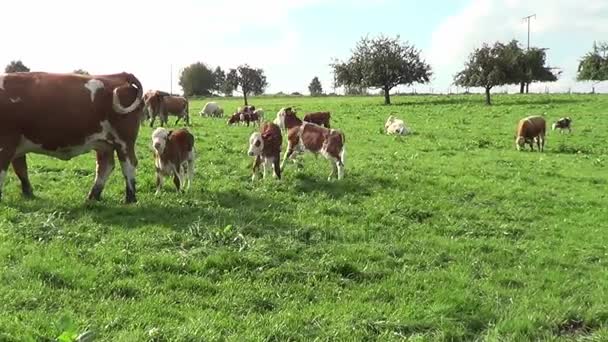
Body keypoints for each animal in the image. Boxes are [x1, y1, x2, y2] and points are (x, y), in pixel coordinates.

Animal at [0, 71, 144, 202]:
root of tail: (120, 75)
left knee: (128, 164)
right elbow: (21, 170)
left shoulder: (6, 144)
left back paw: (130, 198)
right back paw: (93, 196)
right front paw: (28, 194)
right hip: (104, 144)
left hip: (124, 141)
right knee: (105, 166)